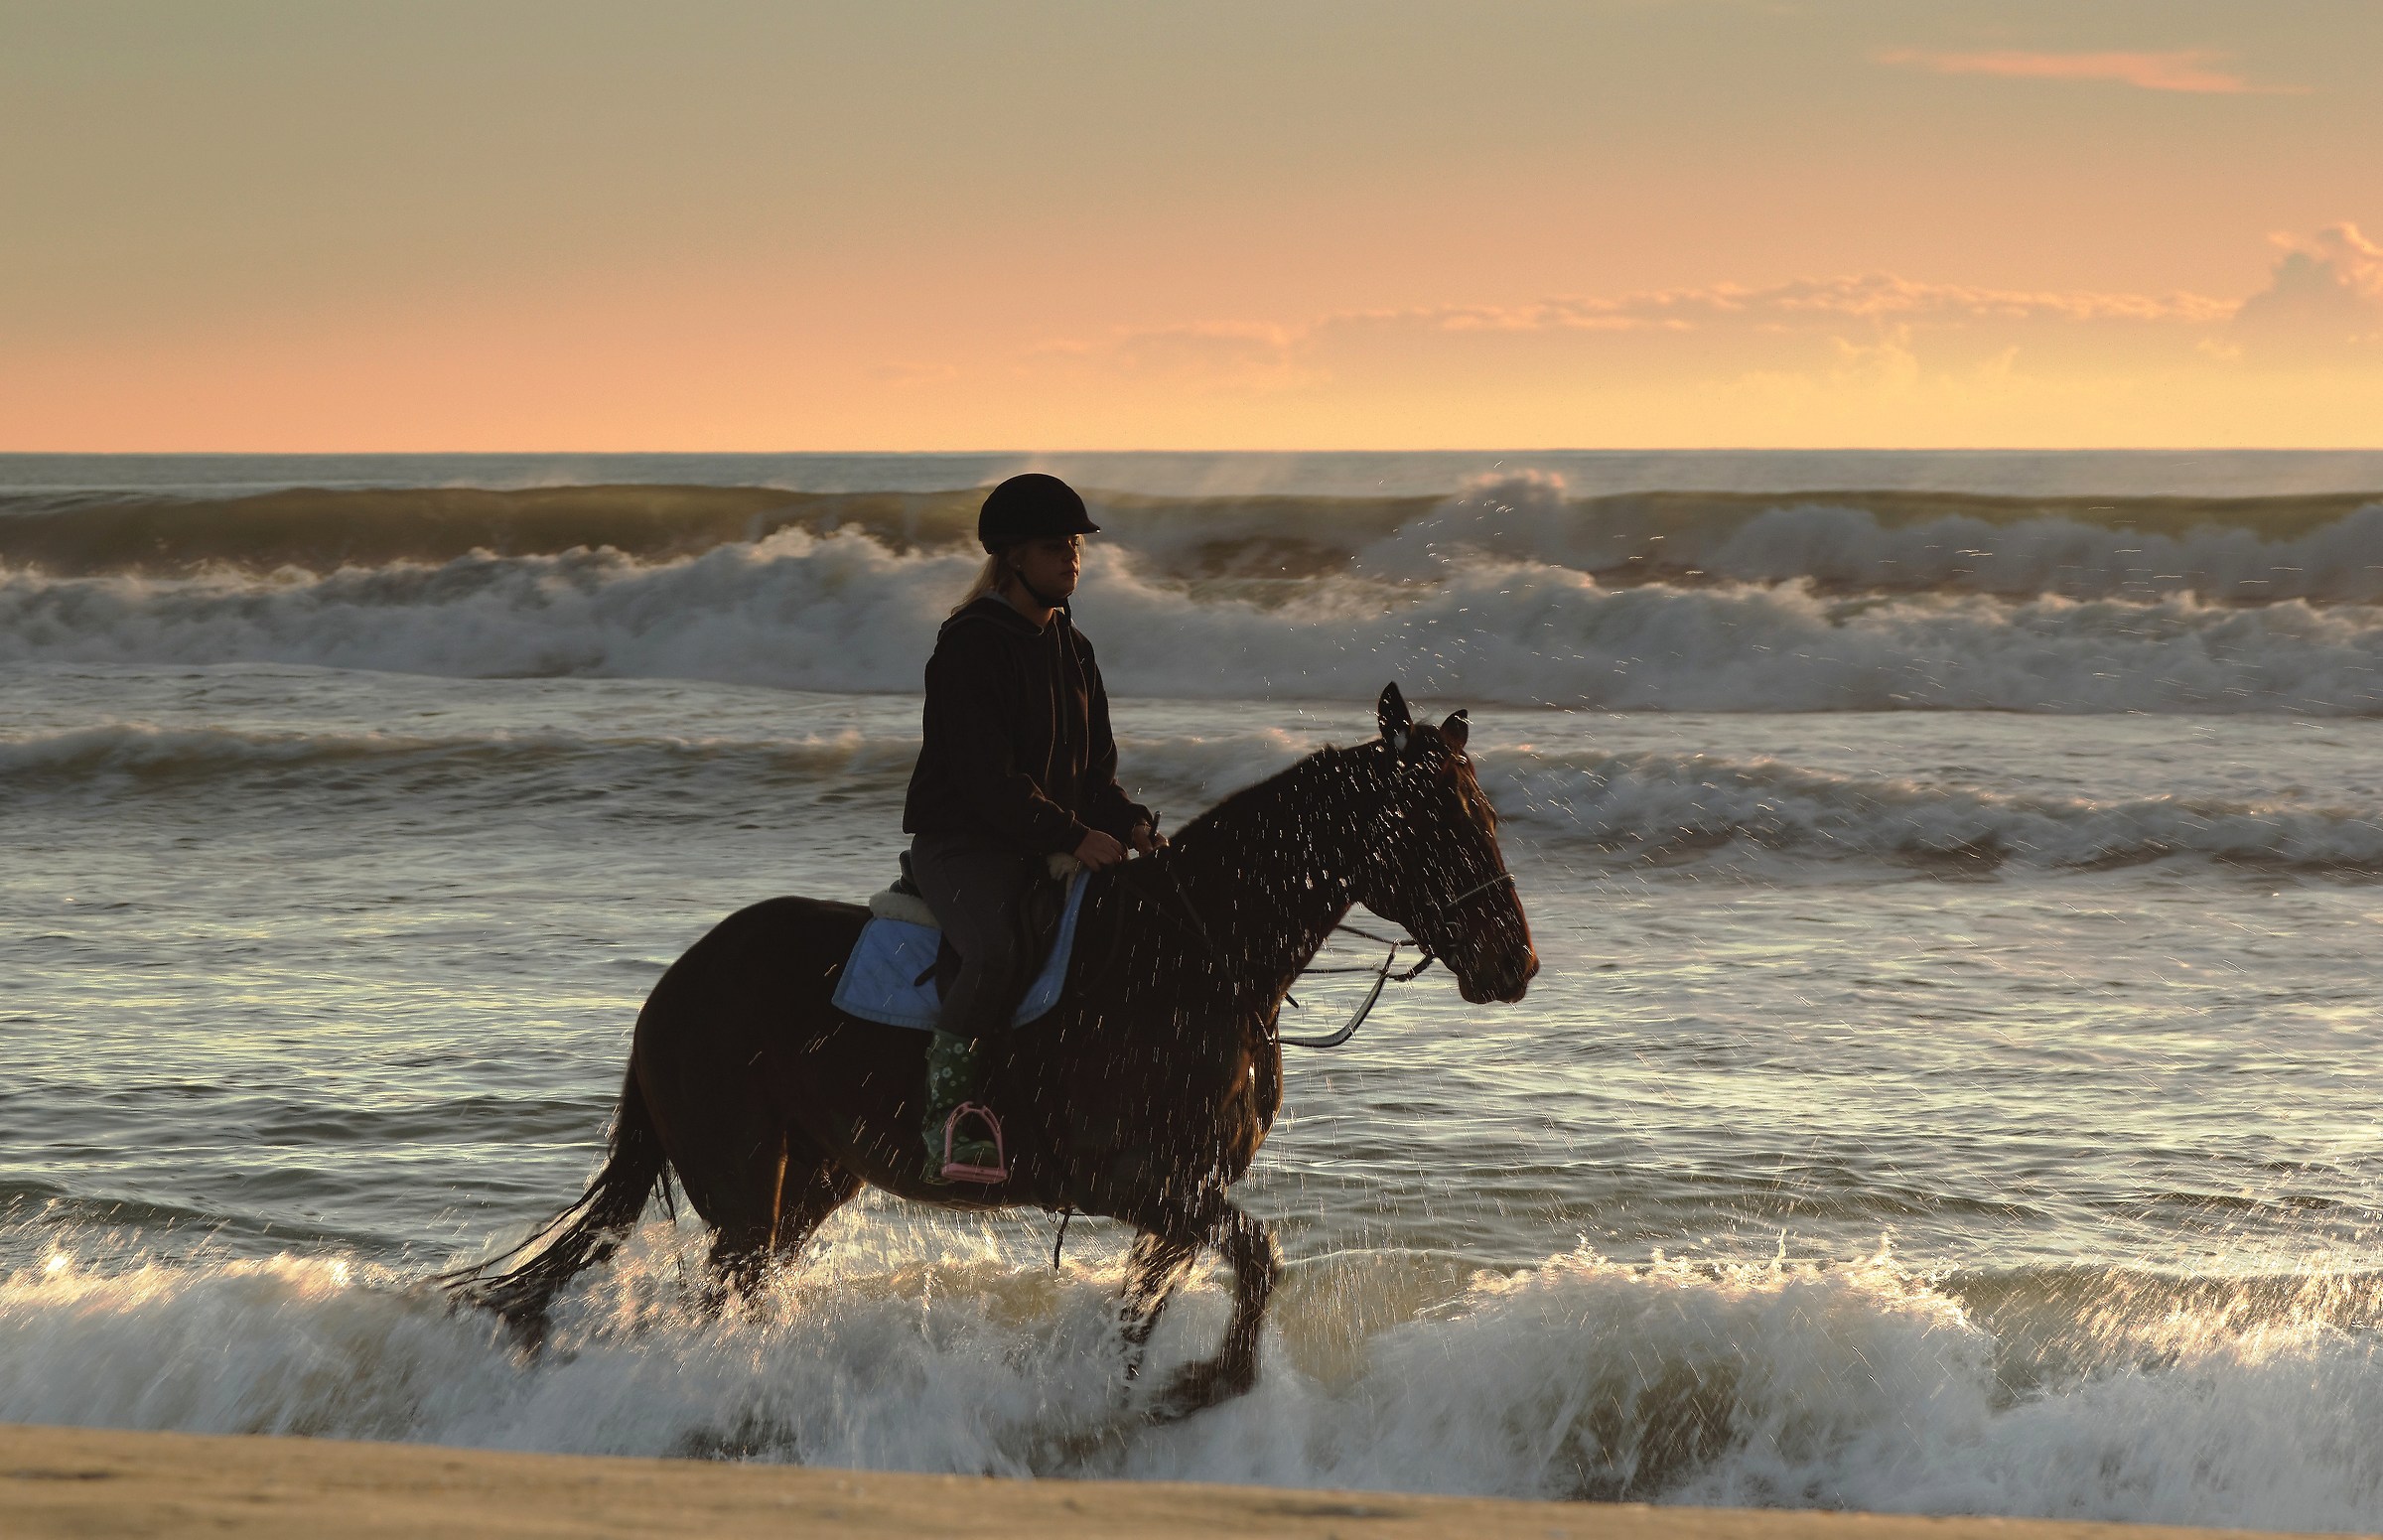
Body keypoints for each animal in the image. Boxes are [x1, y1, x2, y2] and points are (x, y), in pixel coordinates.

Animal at [443, 682, 1537, 1418]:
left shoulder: (1181, 1190)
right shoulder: (1135, 1179)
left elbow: (1163, 1293)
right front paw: (1200, 1384)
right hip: (747, 1188)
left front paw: (1133, 1392)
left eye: (1484, 816)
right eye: (1438, 826)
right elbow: (1254, 1257)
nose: (1515, 963)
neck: (1194, 959)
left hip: (809, 1183)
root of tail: (672, 988)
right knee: (724, 1299)